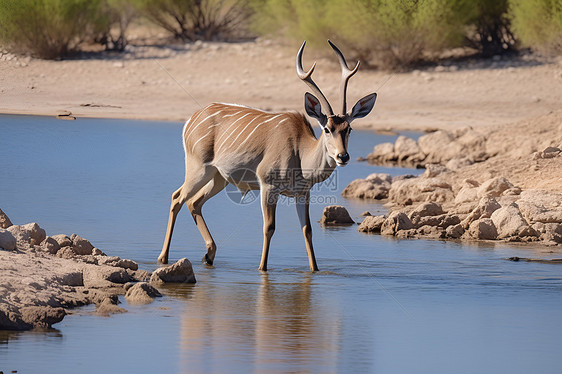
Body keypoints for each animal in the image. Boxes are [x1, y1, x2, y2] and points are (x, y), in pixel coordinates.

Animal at [158, 39, 376, 270]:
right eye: (327, 128)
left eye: (348, 128)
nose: (343, 157)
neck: (300, 153)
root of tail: (192, 119)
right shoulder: (268, 186)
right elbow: (269, 227)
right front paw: (262, 268)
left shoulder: (302, 193)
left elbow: (307, 229)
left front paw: (315, 269)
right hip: (199, 169)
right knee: (177, 197)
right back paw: (163, 257)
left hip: (219, 178)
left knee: (194, 202)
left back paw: (209, 255)